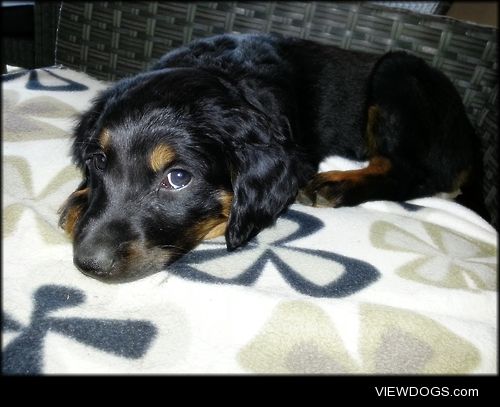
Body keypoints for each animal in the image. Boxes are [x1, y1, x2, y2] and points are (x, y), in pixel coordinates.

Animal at [58, 32, 488, 284]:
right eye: (99, 161)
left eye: (178, 178)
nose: (89, 263)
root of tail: (471, 135)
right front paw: (79, 201)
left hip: (397, 72)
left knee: (412, 173)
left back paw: (337, 185)